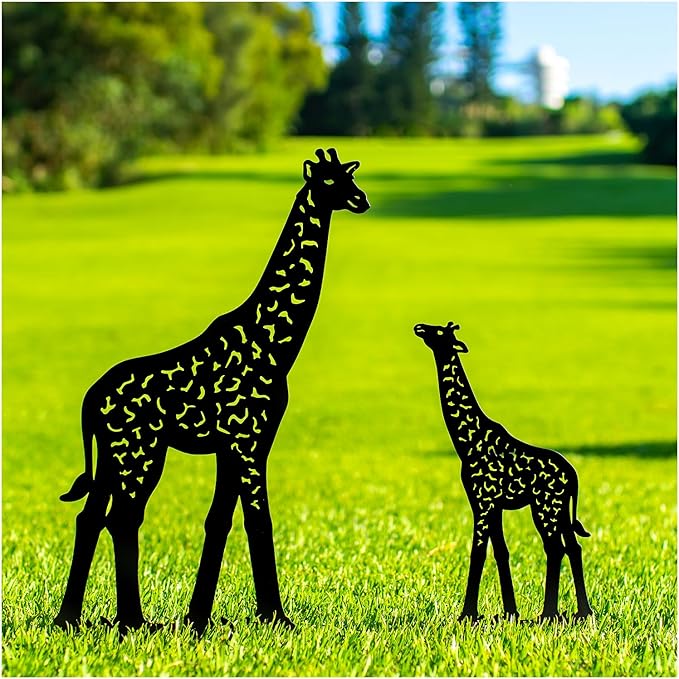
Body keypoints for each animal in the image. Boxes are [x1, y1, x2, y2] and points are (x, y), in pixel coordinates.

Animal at [54, 148, 370, 635]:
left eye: (349, 178)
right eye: (330, 182)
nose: (362, 199)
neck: (277, 344)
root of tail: (90, 400)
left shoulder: (232, 445)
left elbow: (218, 520)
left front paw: (198, 617)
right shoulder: (250, 441)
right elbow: (259, 520)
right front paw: (277, 617)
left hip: (111, 456)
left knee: (90, 516)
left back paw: (68, 618)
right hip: (140, 451)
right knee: (122, 518)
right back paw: (133, 622)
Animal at [414, 321, 593, 623]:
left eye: (439, 332)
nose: (419, 327)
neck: (467, 442)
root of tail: (573, 476)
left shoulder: (482, 501)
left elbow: (477, 552)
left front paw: (468, 615)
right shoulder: (492, 505)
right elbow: (501, 551)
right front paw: (510, 612)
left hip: (545, 507)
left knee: (555, 548)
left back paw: (548, 614)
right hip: (560, 510)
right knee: (573, 546)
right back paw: (583, 612)